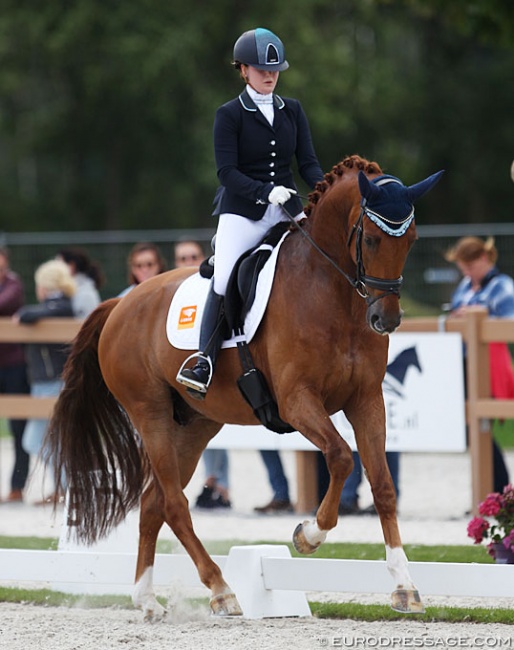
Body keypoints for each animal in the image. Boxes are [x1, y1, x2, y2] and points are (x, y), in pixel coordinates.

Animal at [46, 154, 442, 621]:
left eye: (411, 240)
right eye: (374, 239)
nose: (387, 319)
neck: (332, 294)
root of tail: (121, 303)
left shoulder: (366, 401)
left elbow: (382, 485)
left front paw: (404, 586)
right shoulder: (296, 400)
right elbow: (341, 456)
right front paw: (308, 534)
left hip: (195, 424)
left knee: (154, 502)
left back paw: (147, 598)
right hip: (151, 414)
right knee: (175, 503)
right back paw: (221, 590)